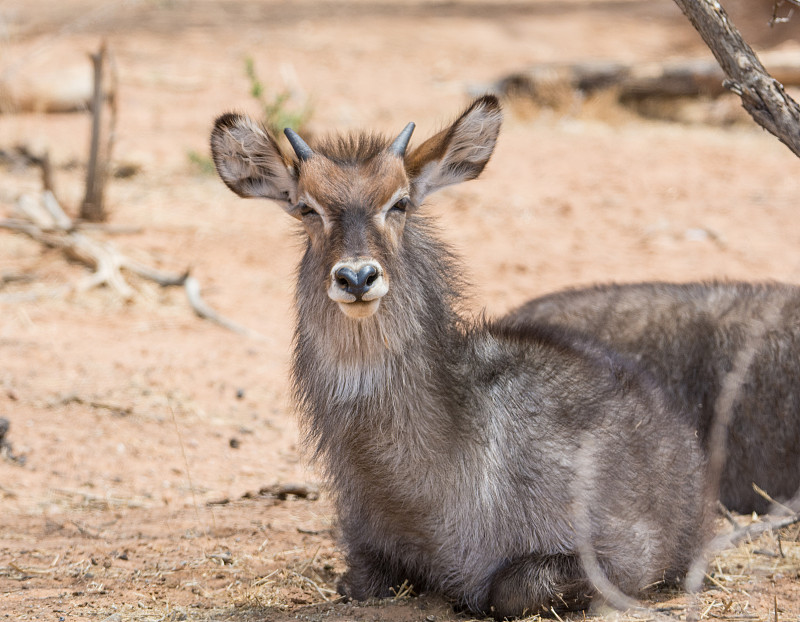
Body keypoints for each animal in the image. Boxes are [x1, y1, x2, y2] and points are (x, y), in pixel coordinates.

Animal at [211, 96, 708, 620]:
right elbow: (358, 582)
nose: (357, 277)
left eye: (400, 201)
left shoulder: (621, 553)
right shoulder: (365, 550)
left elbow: (507, 588)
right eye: (307, 207)